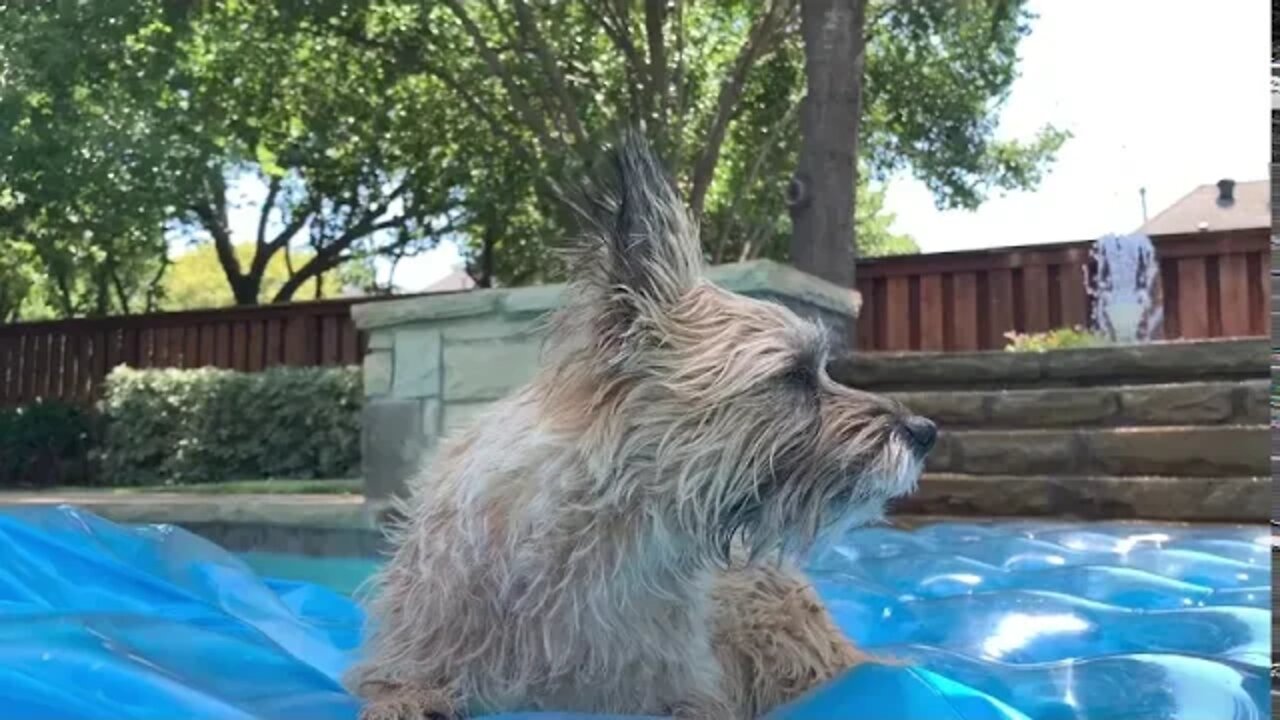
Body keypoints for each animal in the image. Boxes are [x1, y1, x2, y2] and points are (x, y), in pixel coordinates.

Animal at [345, 134, 936, 717]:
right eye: (793, 375)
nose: (925, 431)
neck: (608, 536)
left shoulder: (690, 694)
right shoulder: (406, 663)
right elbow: (402, 690)